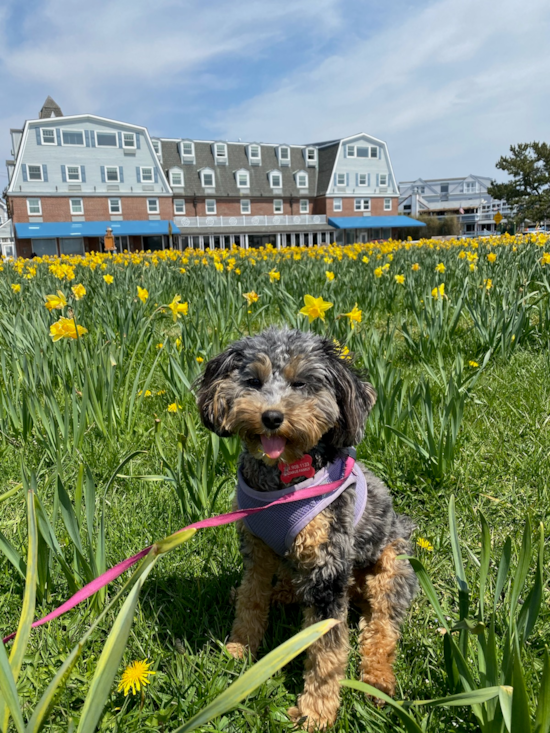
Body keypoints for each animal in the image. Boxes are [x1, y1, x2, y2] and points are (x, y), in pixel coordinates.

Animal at [198, 328, 418, 728]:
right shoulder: (256, 547)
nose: (271, 416)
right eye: (253, 381)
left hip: (391, 568)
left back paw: (377, 679)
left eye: (301, 383)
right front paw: (239, 648)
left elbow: (326, 650)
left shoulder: (327, 570)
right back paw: (277, 593)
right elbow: (252, 599)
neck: (281, 479)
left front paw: (316, 712)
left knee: (381, 628)